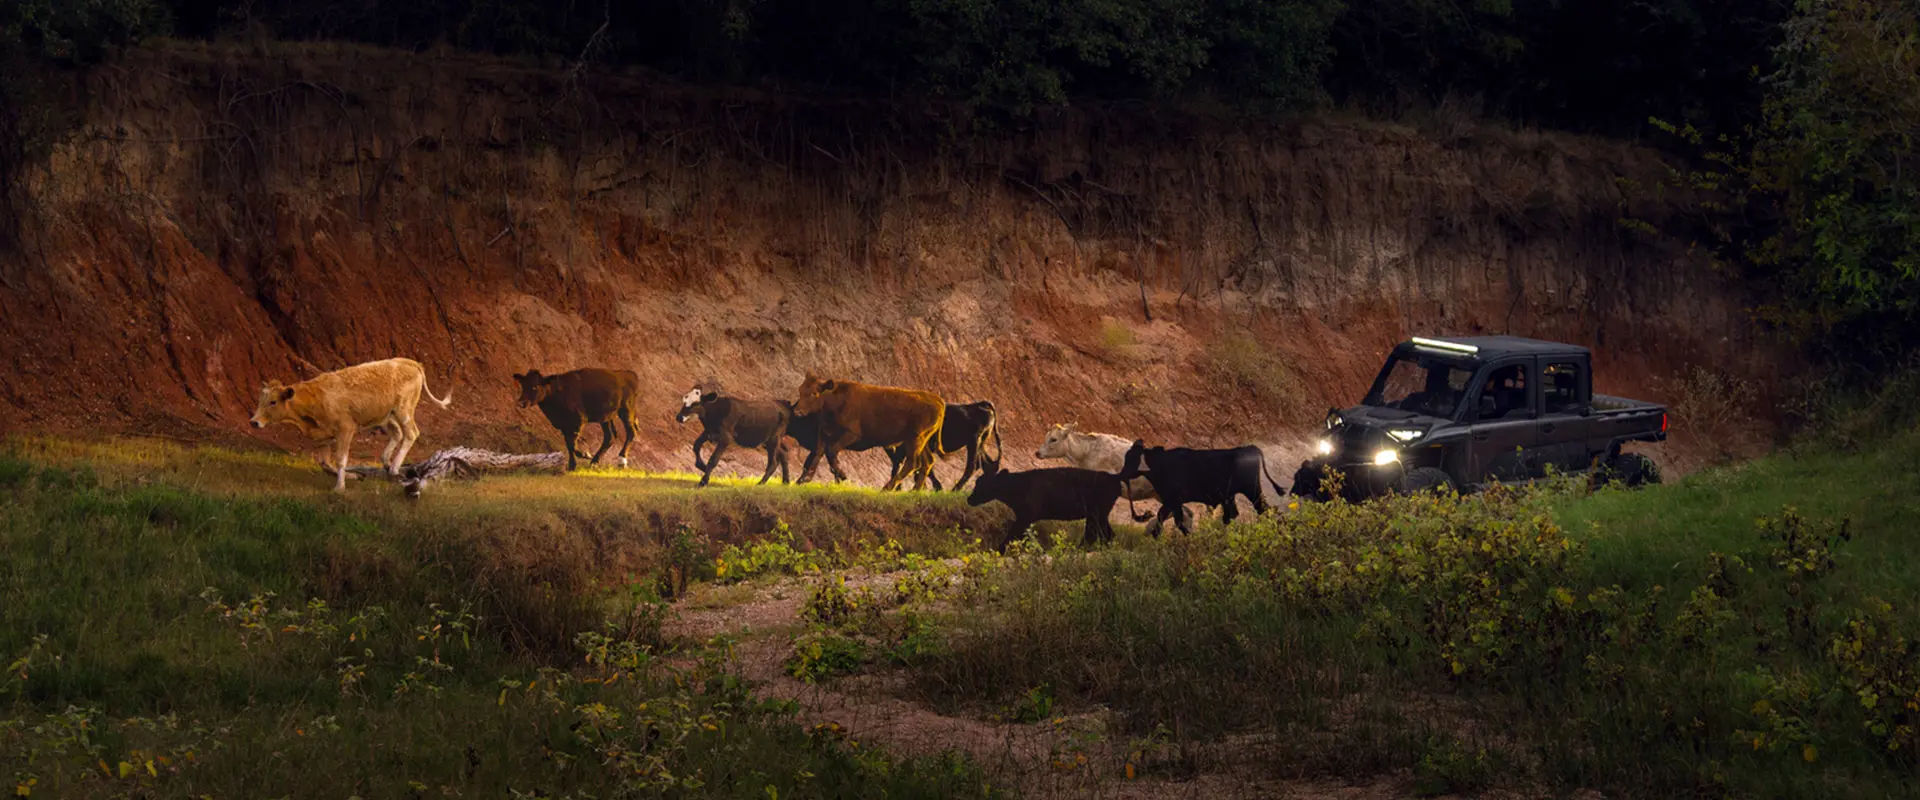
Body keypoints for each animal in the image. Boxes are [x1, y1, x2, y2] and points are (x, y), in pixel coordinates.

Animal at [250, 357, 453, 493]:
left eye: (273, 402)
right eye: (260, 400)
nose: (254, 422)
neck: (316, 399)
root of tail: (410, 362)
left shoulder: (346, 429)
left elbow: (341, 459)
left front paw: (340, 487)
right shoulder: (322, 437)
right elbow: (325, 463)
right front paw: (353, 476)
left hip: (404, 410)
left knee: (410, 433)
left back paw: (395, 467)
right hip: (387, 415)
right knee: (397, 434)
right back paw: (387, 462)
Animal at [511, 368, 642, 472]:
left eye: (535, 386)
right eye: (523, 385)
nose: (521, 402)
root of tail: (627, 373)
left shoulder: (578, 421)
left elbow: (572, 443)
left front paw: (585, 454)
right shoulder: (564, 425)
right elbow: (569, 444)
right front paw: (571, 466)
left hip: (626, 409)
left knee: (631, 432)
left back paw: (621, 461)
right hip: (606, 417)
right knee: (610, 437)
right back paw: (594, 462)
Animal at [791, 375, 945, 491]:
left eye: (814, 393)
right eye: (800, 390)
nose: (797, 411)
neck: (835, 399)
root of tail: (936, 399)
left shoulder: (851, 435)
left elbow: (831, 451)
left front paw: (842, 475)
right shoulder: (824, 434)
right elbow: (817, 455)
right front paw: (802, 480)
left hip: (915, 439)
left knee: (913, 463)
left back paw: (887, 488)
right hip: (920, 442)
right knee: (927, 462)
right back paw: (914, 490)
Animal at [965, 460, 1138, 552]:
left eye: (981, 483)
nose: (969, 499)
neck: (1016, 486)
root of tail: (1114, 477)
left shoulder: (1025, 517)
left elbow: (1012, 535)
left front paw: (997, 551)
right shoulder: (1025, 518)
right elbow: (1024, 536)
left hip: (1097, 515)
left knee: (1094, 534)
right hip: (1098, 515)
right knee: (1107, 535)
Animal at [1119, 440, 1287, 536]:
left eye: (1131, 459)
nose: (1122, 474)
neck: (1161, 464)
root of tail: (1249, 448)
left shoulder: (1173, 499)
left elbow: (1176, 521)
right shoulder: (1170, 501)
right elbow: (1162, 518)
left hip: (1252, 491)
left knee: (1264, 510)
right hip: (1231, 496)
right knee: (1231, 515)